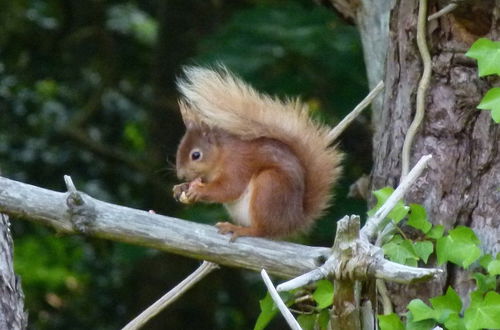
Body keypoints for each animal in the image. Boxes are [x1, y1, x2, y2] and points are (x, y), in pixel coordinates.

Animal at [174, 67, 342, 241]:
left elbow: (229, 188)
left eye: (196, 155)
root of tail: (293, 221)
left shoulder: (237, 164)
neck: (221, 154)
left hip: (269, 187)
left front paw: (198, 191)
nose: (181, 175)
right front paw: (180, 187)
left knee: (261, 230)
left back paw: (240, 229)